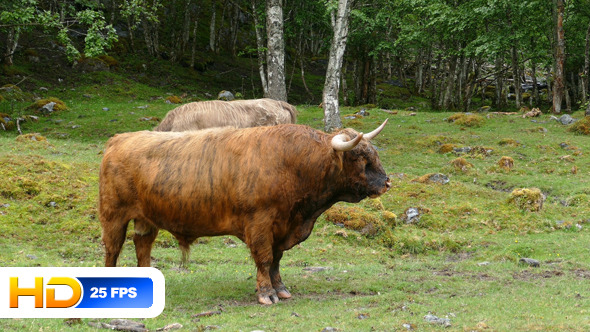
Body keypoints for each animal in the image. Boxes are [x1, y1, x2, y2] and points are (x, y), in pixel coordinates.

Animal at [98, 119, 394, 304]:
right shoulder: (260, 222)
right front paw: (266, 294)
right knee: (113, 249)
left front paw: (281, 289)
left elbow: (276, 260)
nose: (387, 182)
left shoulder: (282, 227)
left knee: (142, 245)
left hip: (145, 219)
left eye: (375, 153)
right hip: (113, 215)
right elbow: (264, 258)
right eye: (360, 158)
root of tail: (119, 139)